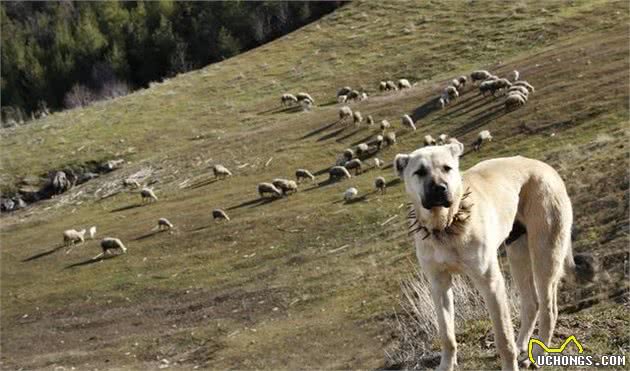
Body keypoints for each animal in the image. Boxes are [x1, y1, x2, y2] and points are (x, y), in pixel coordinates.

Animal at [400, 141, 576, 370]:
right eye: (419, 172)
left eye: (447, 168)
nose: (440, 189)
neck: (446, 225)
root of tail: (546, 167)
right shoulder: (439, 284)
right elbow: (446, 333)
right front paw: (446, 365)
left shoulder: (490, 283)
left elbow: (503, 338)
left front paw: (510, 365)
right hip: (517, 254)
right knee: (532, 304)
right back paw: (522, 345)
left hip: (544, 256)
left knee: (549, 310)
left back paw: (537, 355)